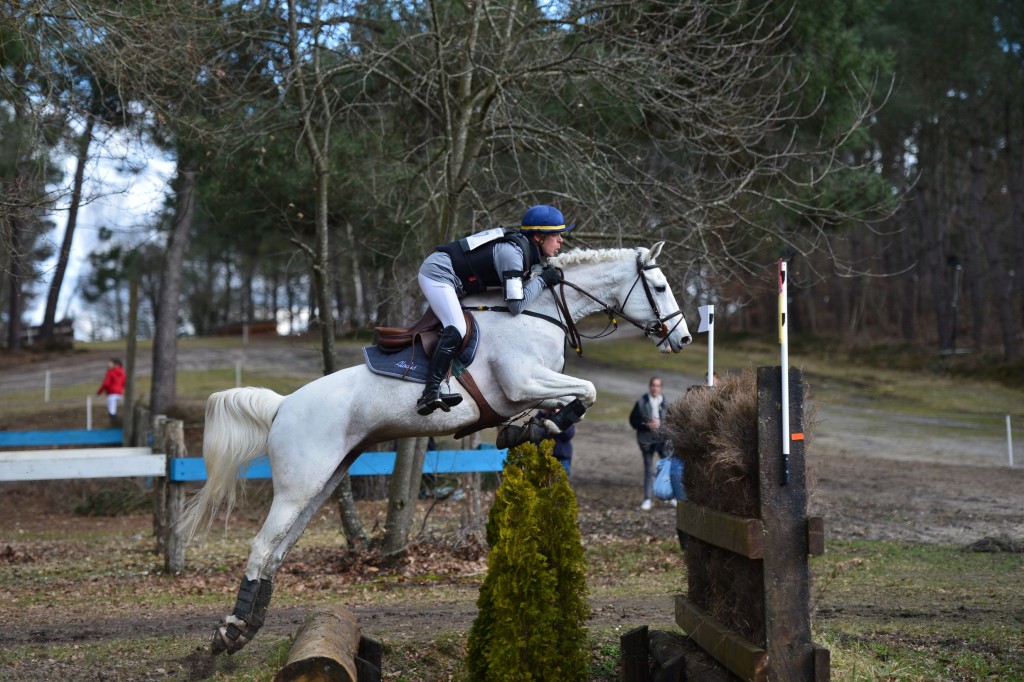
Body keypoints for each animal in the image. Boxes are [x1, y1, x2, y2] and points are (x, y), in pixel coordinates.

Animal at [184, 241, 696, 651]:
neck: (538, 309)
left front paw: (530, 429)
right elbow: (586, 390)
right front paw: (537, 426)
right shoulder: (523, 381)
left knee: (278, 549)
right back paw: (230, 631)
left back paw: (248, 627)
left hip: (324, 480)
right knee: (262, 545)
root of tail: (283, 405)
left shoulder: (532, 387)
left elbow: (574, 399)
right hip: (300, 484)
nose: (685, 337)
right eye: (661, 287)